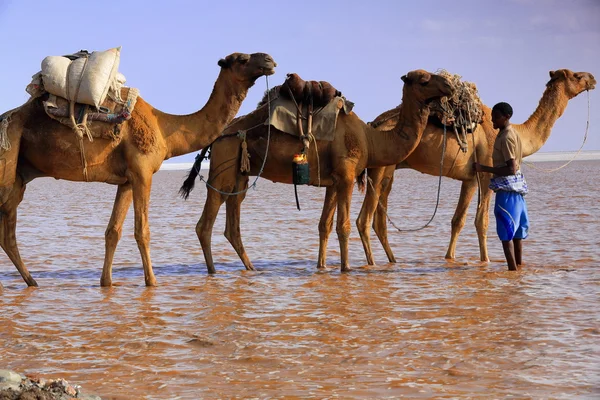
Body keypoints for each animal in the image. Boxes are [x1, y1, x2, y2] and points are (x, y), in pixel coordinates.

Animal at [0, 51, 276, 286]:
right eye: (241, 59)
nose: (270, 60)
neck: (165, 129)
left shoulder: (126, 180)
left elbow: (113, 231)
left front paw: (106, 283)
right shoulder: (143, 173)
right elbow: (142, 231)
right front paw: (152, 282)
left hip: (18, 177)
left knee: (8, 235)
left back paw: (32, 282)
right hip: (7, 161)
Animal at [180, 70, 452, 274]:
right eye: (424, 79)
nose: (449, 85)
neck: (371, 139)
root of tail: (218, 136)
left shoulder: (333, 181)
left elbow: (325, 225)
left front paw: (322, 267)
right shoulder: (347, 176)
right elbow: (343, 225)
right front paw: (346, 269)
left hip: (240, 172)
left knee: (232, 221)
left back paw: (251, 268)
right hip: (224, 163)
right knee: (206, 221)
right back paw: (213, 271)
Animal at [356, 68, 596, 266]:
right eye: (576, 76)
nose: (592, 78)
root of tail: (373, 125)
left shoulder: (470, 179)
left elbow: (457, 220)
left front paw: (450, 258)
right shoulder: (486, 174)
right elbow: (482, 221)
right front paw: (486, 261)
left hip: (390, 171)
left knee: (379, 220)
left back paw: (392, 261)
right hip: (379, 169)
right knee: (364, 219)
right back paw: (372, 264)